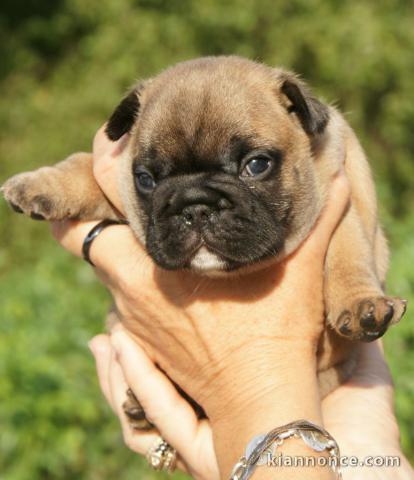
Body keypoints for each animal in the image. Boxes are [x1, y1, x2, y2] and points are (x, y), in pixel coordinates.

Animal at [0, 56, 408, 432]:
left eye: (256, 165)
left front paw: (362, 304)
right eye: (146, 179)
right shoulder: (116, 181)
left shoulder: (342, 203)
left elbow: (347, 253)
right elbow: (83, 166)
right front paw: (40, 183)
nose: (195, 205)